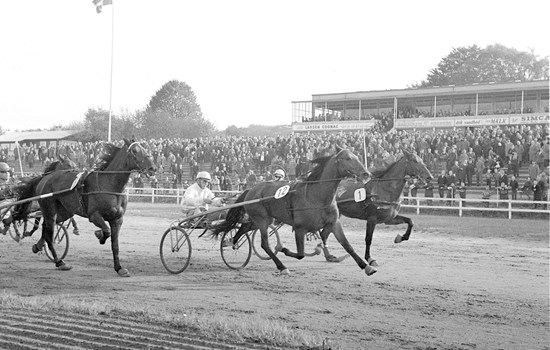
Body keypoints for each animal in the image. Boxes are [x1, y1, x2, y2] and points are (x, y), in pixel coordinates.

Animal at [17, 139, 155, 276]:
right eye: (135, 151)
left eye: (145, 148)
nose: (153, 168)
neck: (110, 185)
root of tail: (45, 178)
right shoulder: (94, 215)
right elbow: (107, 231)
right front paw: (100, 235)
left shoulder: (117, 219)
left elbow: (115, 245)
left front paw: (119, 268)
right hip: (49, 209)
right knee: (49, 235)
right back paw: (60, 262)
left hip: (65, 212)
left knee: (46, 227)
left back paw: (38, 246)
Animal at [210, 145, 370, 276]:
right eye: (348, 158)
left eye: (357, 156)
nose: (366, 173)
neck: (316, 197)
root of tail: (251, 189)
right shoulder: (300, 228)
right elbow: (300, 254)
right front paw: (283, 248)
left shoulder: (334, 223)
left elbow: (347, 245)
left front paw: (366, 266)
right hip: (262, 220)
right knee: (264, 244)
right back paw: (282, 266)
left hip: (262, 220)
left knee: (244, 227)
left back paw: (230, 242)